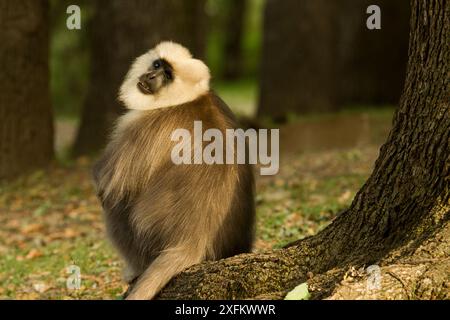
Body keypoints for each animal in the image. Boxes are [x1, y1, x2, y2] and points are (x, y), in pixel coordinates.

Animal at [93, 41, 255, 298]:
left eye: (167, 76)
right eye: (158, 65)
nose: (150, 76)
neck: (185, 100)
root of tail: (193, 240)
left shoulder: (144, 124)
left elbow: (105, 185)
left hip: (144, 238)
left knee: (115, 204)